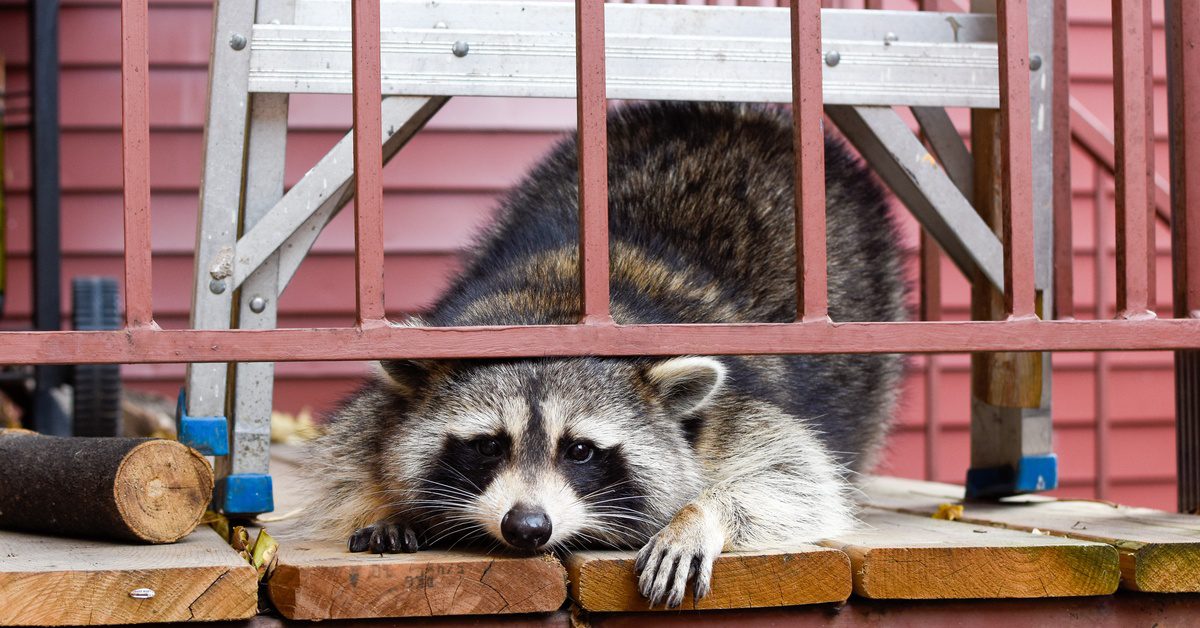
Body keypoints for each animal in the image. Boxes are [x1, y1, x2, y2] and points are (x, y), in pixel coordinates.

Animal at [304, 102, 905, 607]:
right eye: (489, 445)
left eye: (580, 451)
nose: (527, 528)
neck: (552, 316)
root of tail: (737, 111)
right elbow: (349, 453)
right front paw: (385, 500)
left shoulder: (731, 408)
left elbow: (794, 473)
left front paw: (701, 513)